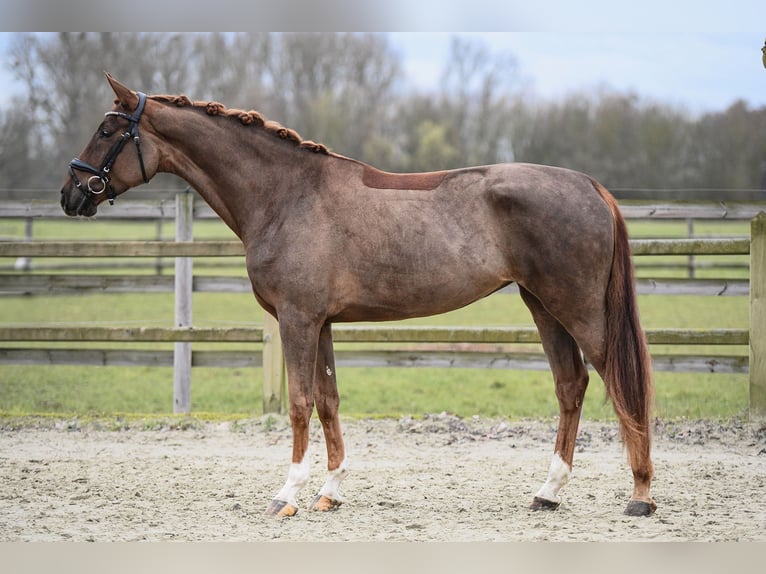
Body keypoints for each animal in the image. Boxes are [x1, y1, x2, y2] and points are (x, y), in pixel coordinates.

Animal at [61, 74, 660, 520]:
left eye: (107, 129)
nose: (71, 194)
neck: (286, 196)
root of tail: (590, 186)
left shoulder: (297, 320)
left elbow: (300, 403)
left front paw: (288, 495)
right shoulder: (322, 322)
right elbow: (328, 401)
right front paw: (330, 492)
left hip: (578, 310)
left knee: (621, 385)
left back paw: (640, 495)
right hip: (543, 305)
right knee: (571, 385)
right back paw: (548, 492)